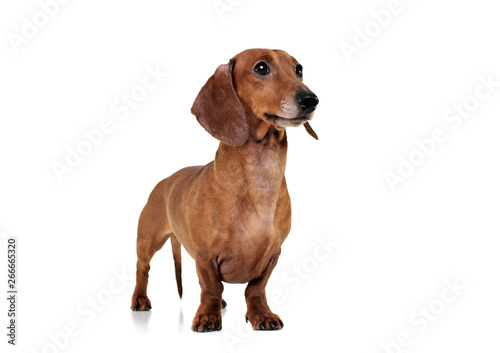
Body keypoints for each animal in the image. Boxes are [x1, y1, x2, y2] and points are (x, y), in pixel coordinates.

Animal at [131, 47, 318, 330]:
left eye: (299, 69)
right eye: (261, 68)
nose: (311, 99)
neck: (261, 174)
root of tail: (166, 179)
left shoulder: (273, 254)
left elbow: (255, 289)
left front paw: (261, 314)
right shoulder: (205, 256)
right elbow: (210, 287)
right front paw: (208, 316)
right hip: (148, 239)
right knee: (143, 268)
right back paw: (140, 299)